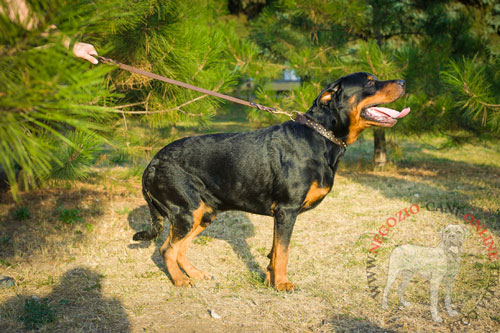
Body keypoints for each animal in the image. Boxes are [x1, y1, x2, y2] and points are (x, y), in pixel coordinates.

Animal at [134, 71, 410, 290]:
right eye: (370, 81)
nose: (404, 81)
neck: (320, 137)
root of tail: (152, 164)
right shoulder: (287, 210)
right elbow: (284, 252)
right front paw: (283, 284)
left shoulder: (281, 215)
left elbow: (275, 251)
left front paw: (270, 280)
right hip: (187, 211)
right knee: (167, 249)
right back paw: (181, 281)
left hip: (204, 213)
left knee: (178, 248)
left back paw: (195, 274)